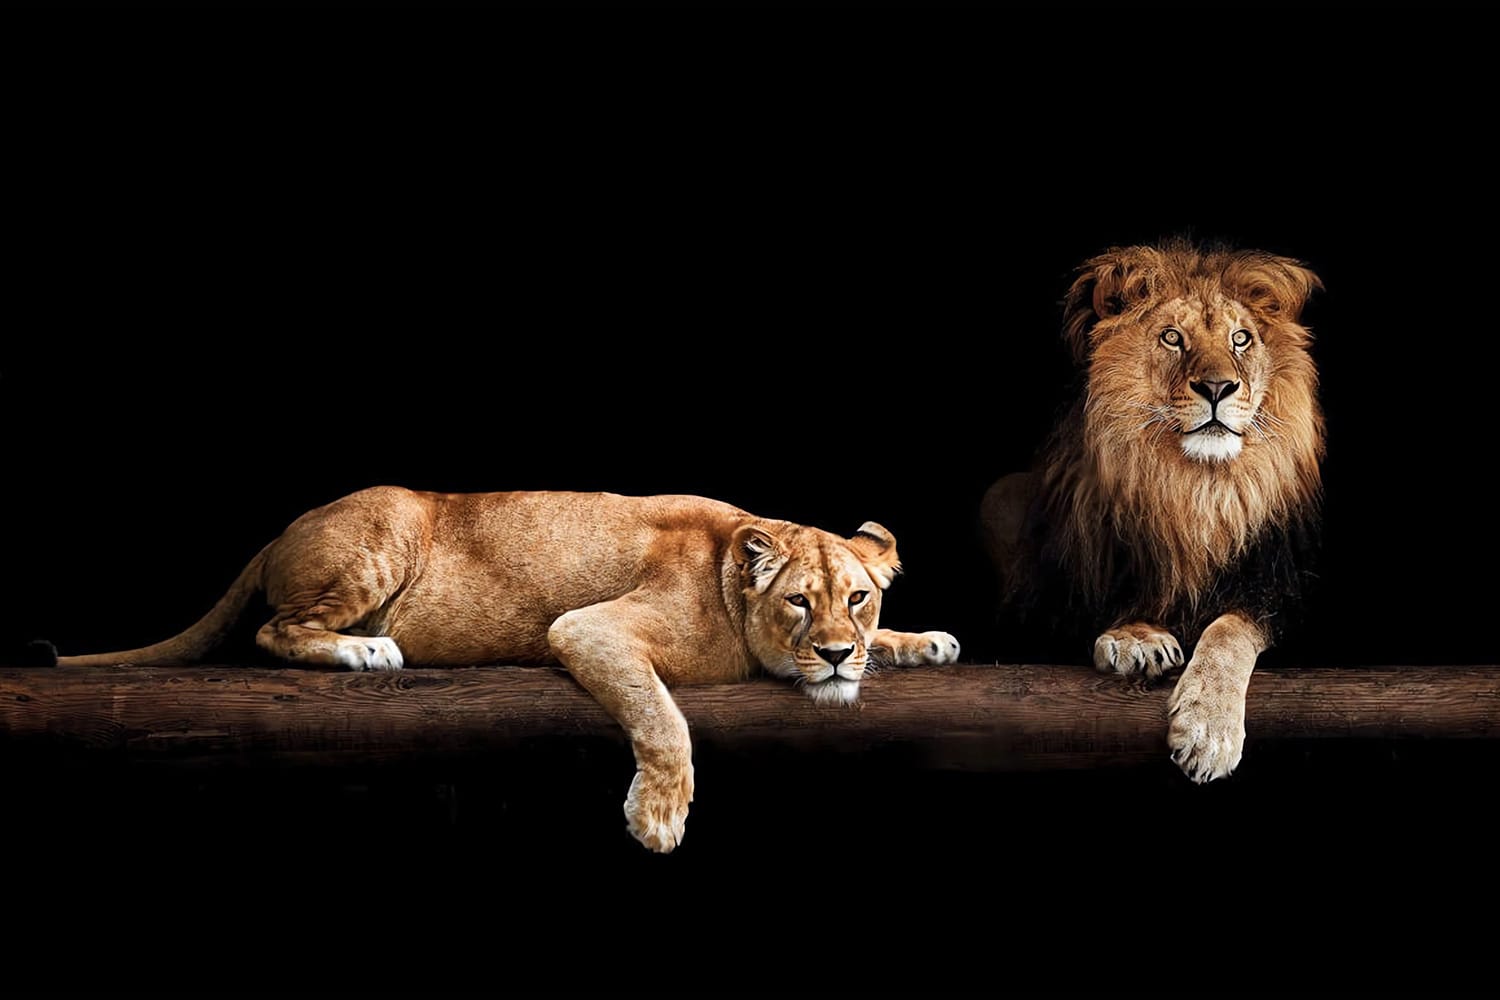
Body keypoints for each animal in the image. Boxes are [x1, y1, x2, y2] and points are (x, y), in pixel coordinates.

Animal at [51, 487, 961, 851]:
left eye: (858, 600)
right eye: (800, 604)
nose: (837, 654)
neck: (731, 571)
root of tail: (280, 532)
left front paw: (923, 640)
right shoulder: (588, 629)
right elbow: (664, 717)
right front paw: (659, 818)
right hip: (385, 533)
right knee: (276, 631)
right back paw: (366, 648)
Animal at [980, 237, 1324, 783]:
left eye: (1241, 339)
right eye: (1171, 338)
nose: (1217, 388)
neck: (1193, 488)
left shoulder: (1286, 590)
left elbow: (1230, 628)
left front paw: (1208, 731)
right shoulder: (1036, 612)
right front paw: (1135, 638)